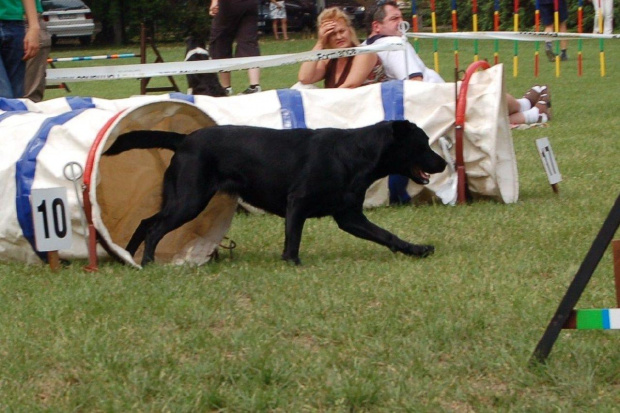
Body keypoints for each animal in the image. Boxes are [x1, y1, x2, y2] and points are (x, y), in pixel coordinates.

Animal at [105, 120, 446, 266]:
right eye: (423, 143)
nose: (443, 162)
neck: (354, 155)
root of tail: (185, 140)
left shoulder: (349, 216)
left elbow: (387, 235)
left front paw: (418, 249)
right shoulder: (298, 203)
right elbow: (292, 241)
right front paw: (293, 264)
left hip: (181, 198)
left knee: (145, 223)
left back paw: (127, 257)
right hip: (190, 200)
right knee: (155, 228)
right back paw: (148, 261)